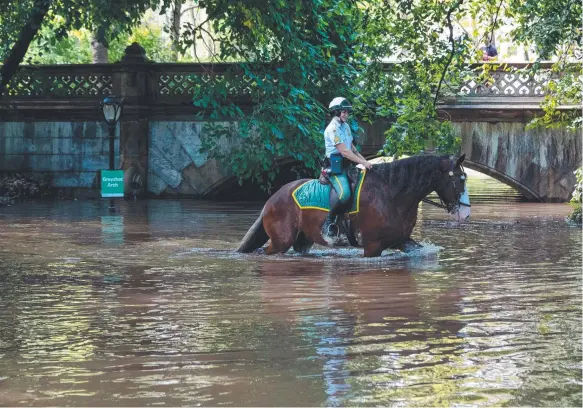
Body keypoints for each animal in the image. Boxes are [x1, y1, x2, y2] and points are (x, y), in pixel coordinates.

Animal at [237, 155, 470, 256]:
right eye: (460, 179)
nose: (466, 214)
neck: (392, 194)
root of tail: (271, 200)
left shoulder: (402, 240)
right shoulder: (373, 247)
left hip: (303, 240)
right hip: (280, 241)